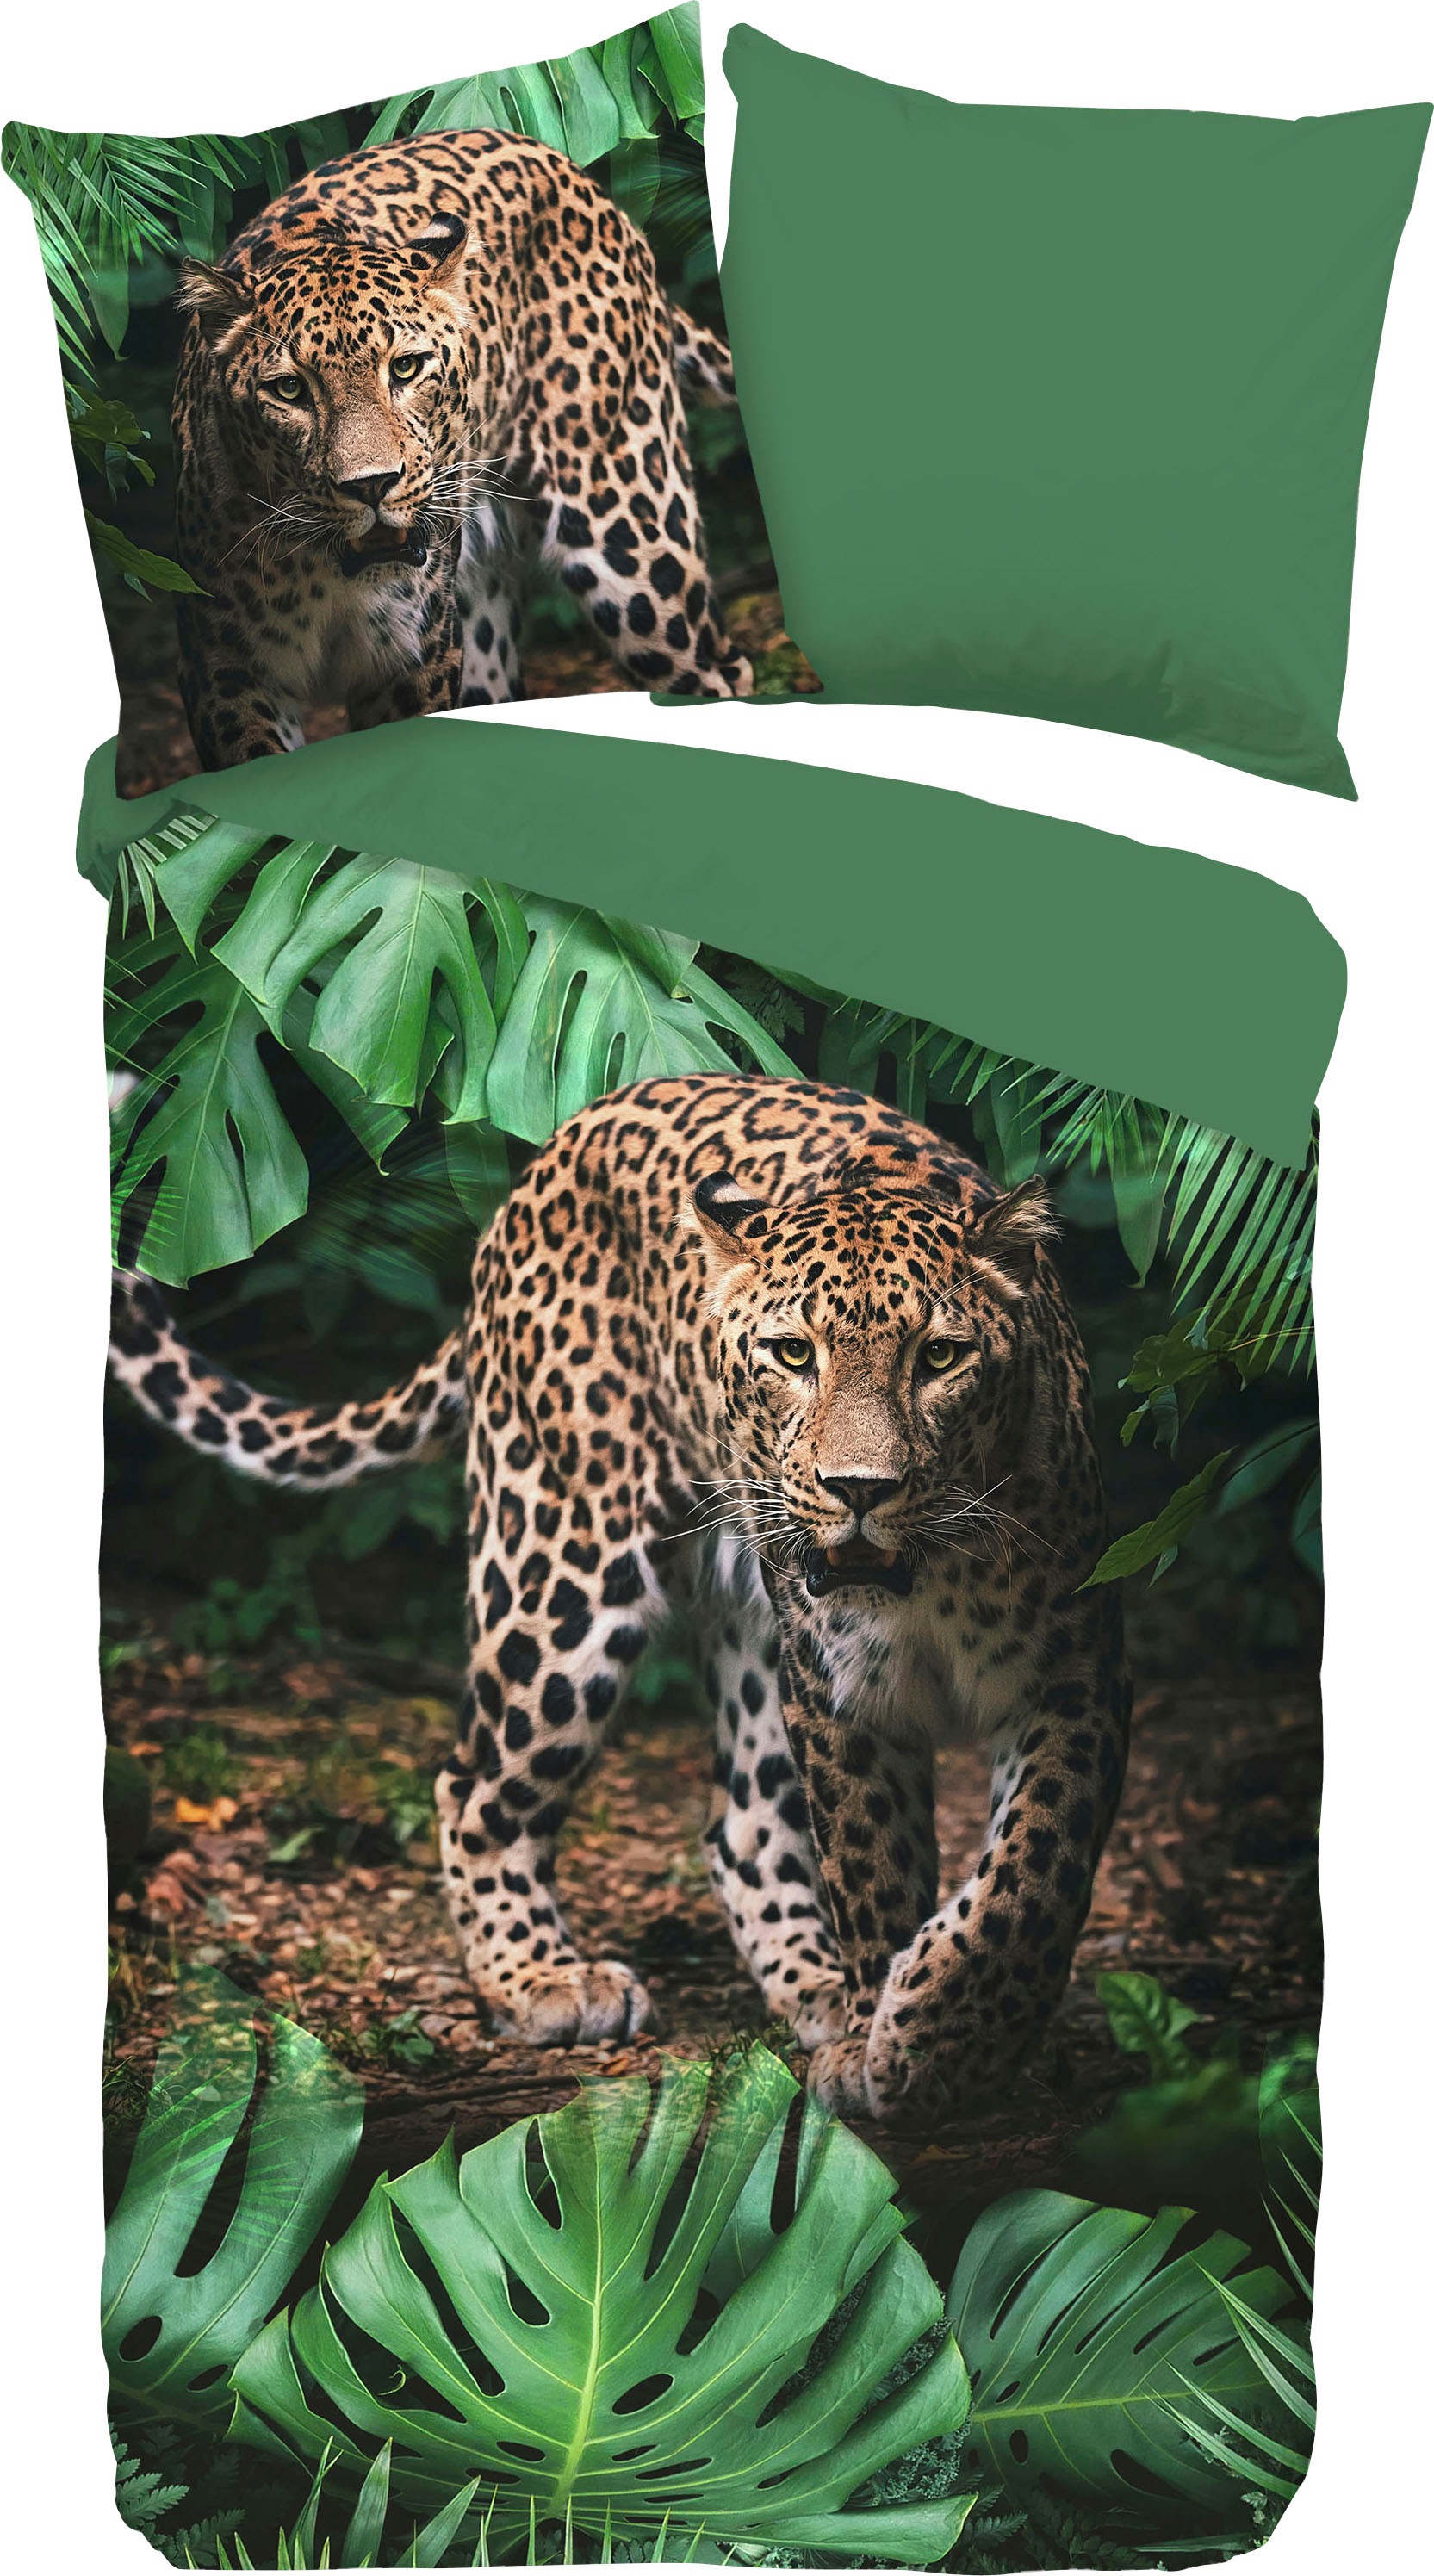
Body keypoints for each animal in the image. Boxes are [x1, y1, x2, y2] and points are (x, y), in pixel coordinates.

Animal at [110, 1072, 1130, 2121]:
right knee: (474, 1784)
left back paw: (811, 1988)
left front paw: (943, 2029)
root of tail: (557, 1146)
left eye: (939, 1358)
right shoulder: (839, 1694)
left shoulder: (1075, 1669)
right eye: (791, 1354)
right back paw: (541, 1979)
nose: (858, 1490)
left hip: (745, 1626)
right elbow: (873, 1868)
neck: (927, 1579)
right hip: (560, 1568)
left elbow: (1034, 1868)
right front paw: (895, 2037)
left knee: (741, 1823)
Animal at [170, 129, 753, 771]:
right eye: (290, 390)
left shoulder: (416, 661)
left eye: (405, 367)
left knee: (720, 669)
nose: (371, 486)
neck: (329, 576)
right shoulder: (226, 673)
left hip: (634, 542)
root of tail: (575, 172)